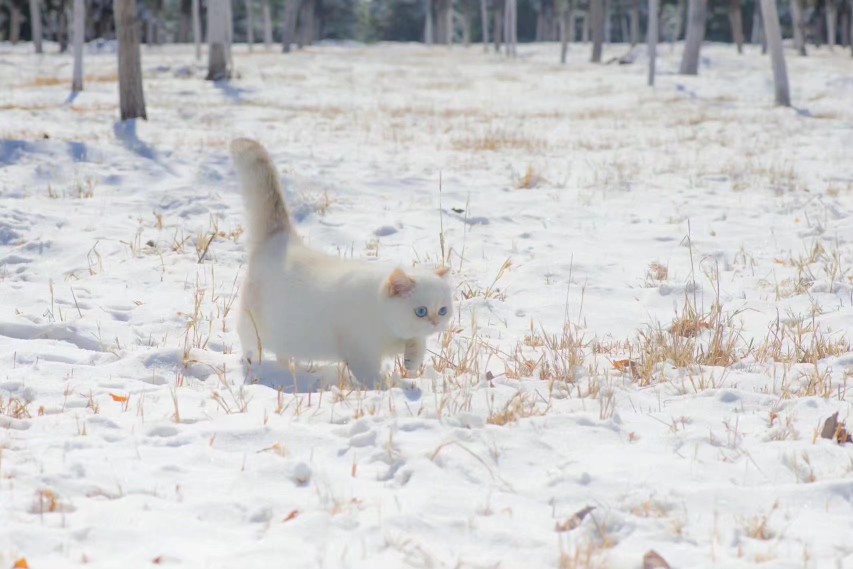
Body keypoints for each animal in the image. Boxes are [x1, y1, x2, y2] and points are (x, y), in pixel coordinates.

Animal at [226, 138, 452, 386]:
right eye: (421, 311)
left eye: (443, 310)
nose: (435, 322)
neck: (386, 323)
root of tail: (284, 239)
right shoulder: (360, 351)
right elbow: (371, 375)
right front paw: (384, 387)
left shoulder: (406, 337)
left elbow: (418, 344)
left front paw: (411, 362)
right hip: (253, 323)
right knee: (248, 342)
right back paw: (254, 363)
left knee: (282, 354)